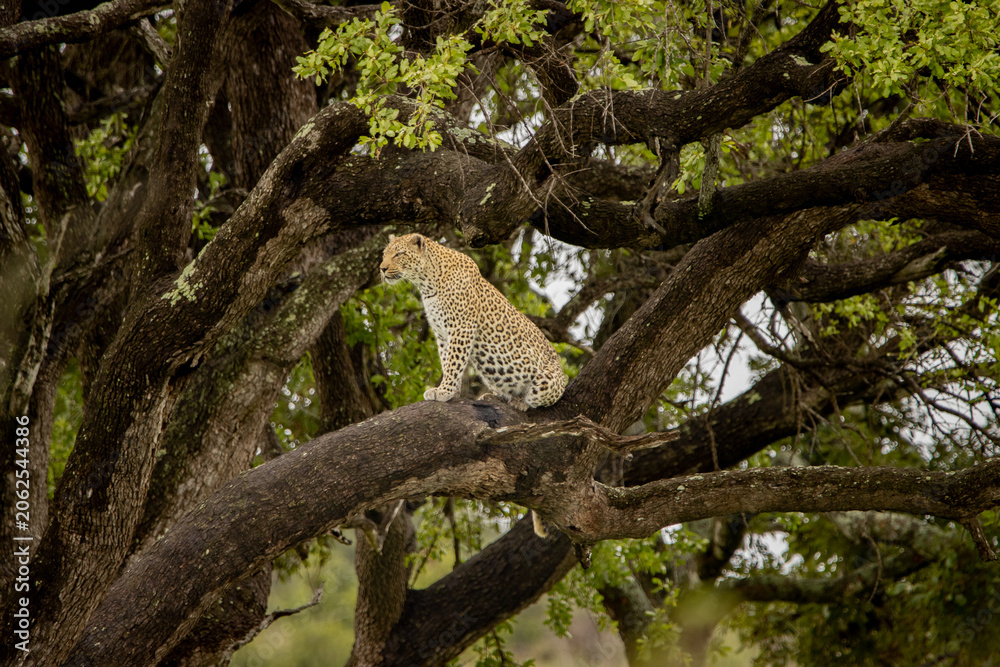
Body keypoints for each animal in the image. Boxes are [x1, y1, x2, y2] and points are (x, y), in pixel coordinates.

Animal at [380, 233, 567, 411]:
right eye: (384, 254)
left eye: (398, 254)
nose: (382, 268)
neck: (427, 284)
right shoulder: (441, 333)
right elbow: (447, 361)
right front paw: (452, 392)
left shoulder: (461, 327)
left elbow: (454, 362)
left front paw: (444, 391)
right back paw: (493, 396)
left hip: (548, 381)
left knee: (536, 400)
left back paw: (519, 401)